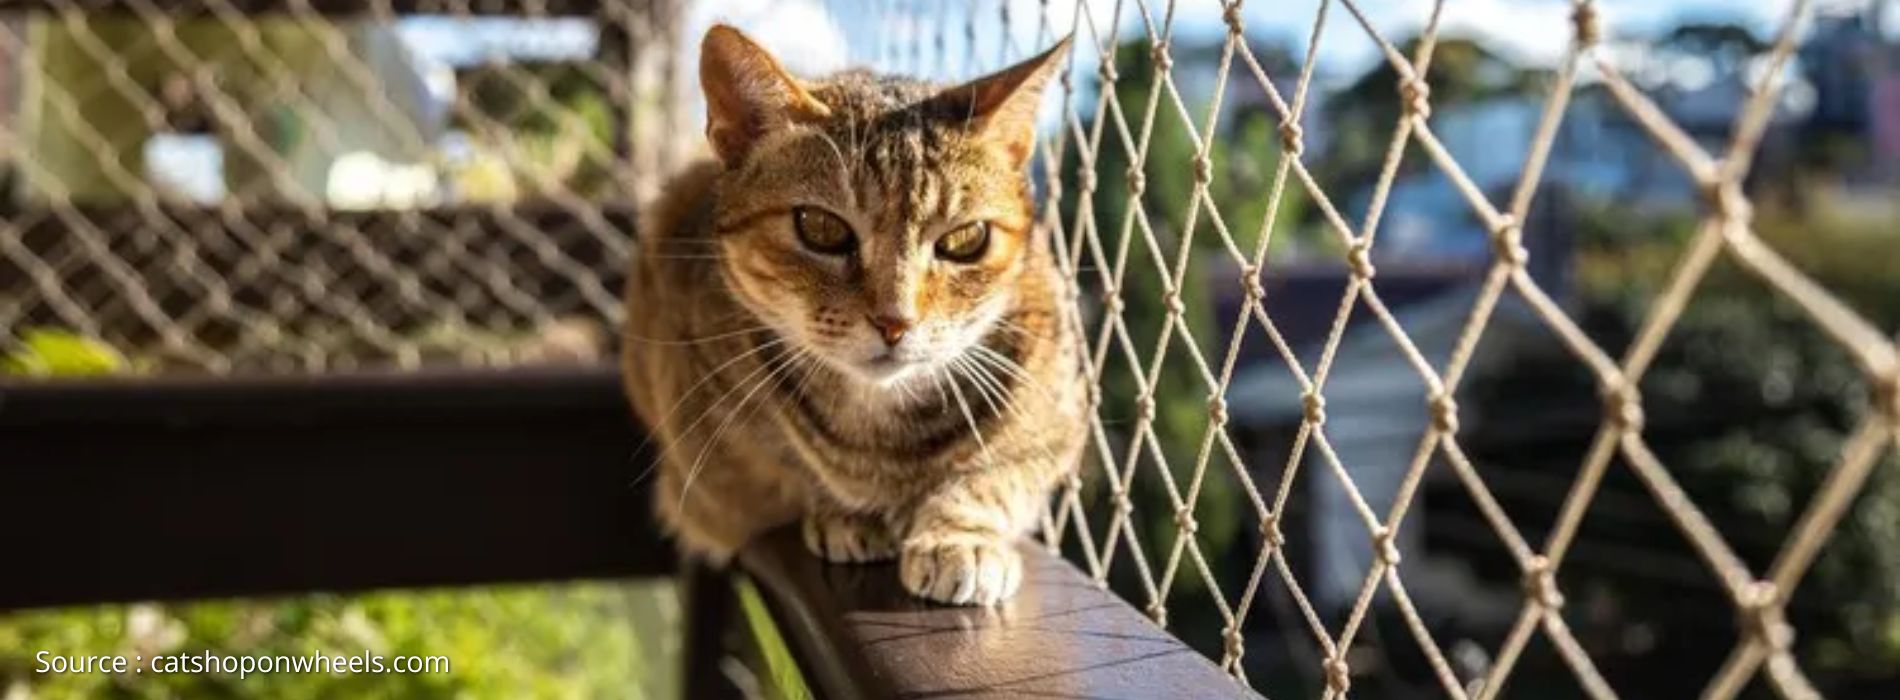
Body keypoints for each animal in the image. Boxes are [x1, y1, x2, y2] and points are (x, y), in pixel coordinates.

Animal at [615, 25, 1079, 608]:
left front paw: (961, 536)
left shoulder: (1056, 407)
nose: (895, 322)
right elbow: (790, 466)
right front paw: (842, 512)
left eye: (965, 240)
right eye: (821, 228)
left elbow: (997, 474)